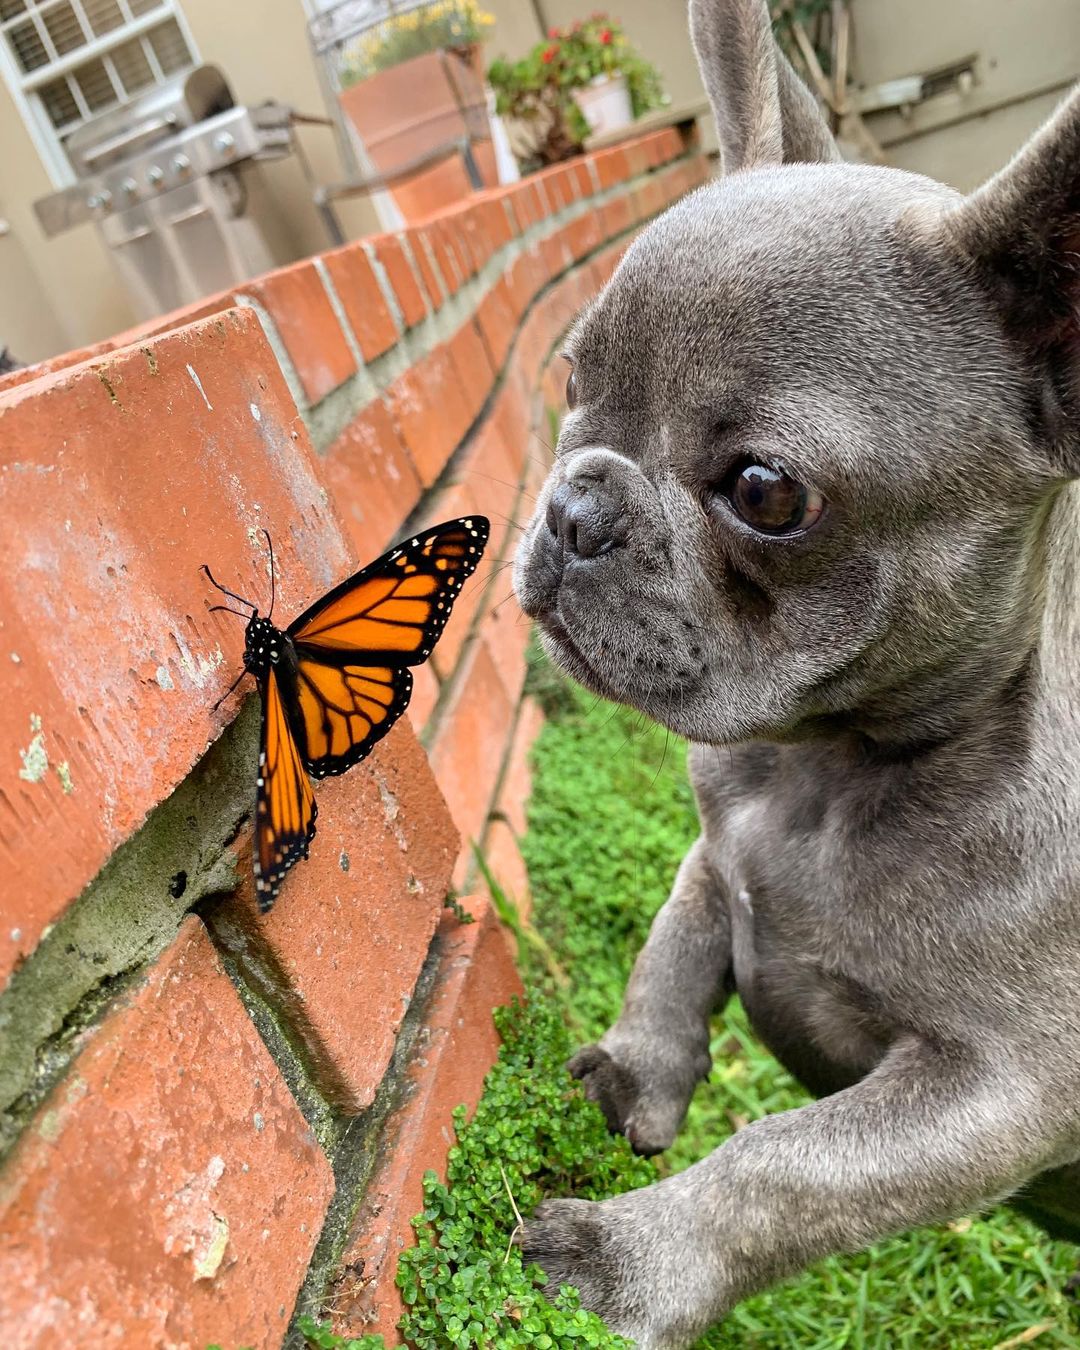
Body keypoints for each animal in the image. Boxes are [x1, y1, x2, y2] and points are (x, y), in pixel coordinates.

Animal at [510, 5, 1080, 1344]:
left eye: (766, 493)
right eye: (572, 384)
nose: (575, 505)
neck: (824, 769)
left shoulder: (1001, 1092)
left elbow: (781, 1166)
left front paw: (625, 1260)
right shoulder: (710, 863)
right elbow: (669, 960)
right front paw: (629, 1077)